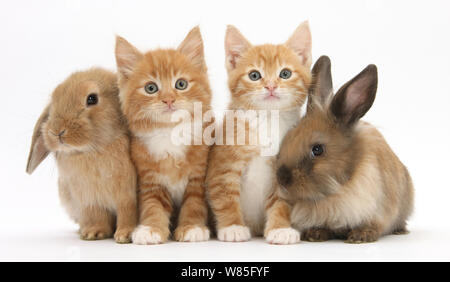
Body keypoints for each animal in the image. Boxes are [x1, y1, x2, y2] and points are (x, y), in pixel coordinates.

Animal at [25, 67, 137, 242]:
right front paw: (93, 233)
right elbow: (97, 216)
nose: (57, 131)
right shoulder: (90, 200)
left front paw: (126, 235)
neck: (92, 150)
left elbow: (128, 214)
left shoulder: (128, 197)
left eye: (92, 98)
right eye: (55, 99)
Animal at [115, 27, 212, 245]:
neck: (170, 133)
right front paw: (150, 229)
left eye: (181, 84)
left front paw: (192, 227)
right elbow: (153, 207)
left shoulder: (198, 177)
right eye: (151, 88)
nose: (169, 99)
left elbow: (193, 204)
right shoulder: (150, 181)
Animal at [206, 22, 312, 243]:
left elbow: (281, 202)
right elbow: (224, 196)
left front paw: (280, 228)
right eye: (254, 75)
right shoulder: (222, 166)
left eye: (285, 73)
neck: (267, 119)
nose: (270, 86)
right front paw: (233, 227)